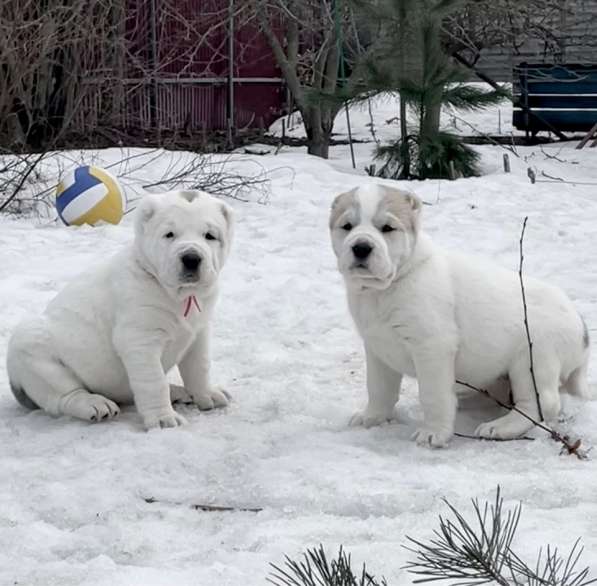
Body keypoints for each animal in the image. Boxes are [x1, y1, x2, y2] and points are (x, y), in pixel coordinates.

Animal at [5, 189, 233, 426]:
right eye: (169, 234)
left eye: (209, 236)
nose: (191, 258)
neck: (178, 294)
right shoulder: (140, 338)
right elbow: (153, 381)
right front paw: (163, 419)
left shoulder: (199, 331)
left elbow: (200, 367)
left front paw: (207, 394)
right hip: (32, 349)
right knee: (65, 395)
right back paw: (96, 404)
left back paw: (179, 392)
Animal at [328, 185, 588, 444]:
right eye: (347, 226)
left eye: (387, 228)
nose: (361, 247)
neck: (384, 289)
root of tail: (582, 331)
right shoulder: (377, 349)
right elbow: (378, 388)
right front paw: (372, 417)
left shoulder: (432, 347)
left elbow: (433, 394)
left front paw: (434, 433)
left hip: (533, 359)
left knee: (541, 403)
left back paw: (500, 427)